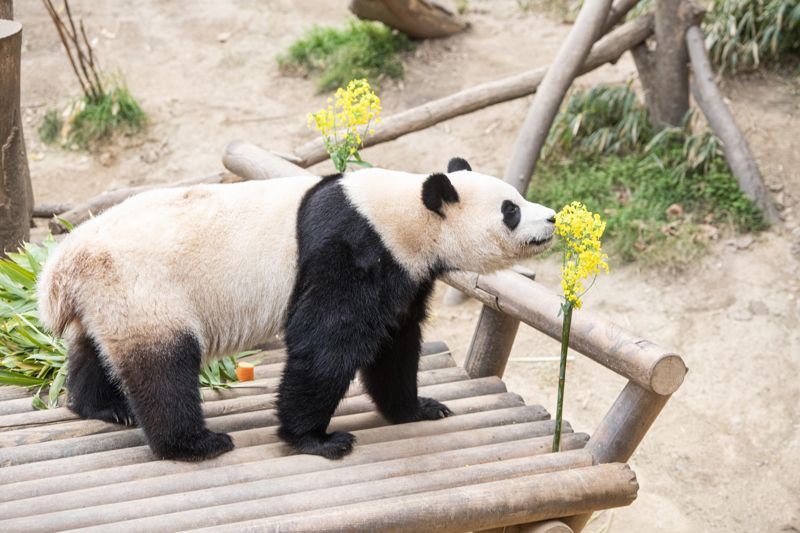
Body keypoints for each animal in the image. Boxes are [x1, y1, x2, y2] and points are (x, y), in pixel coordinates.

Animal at [36, 156, 552, 460]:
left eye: (518, 197)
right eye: (510, 209)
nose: (549, 218)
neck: (402, 213)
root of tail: (62, 265)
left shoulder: (403, 271)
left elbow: (396, 344)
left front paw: (418, 407)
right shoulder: (352, 247)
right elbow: (326, 342)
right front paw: (316, 438)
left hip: (110, 295)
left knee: (95, 348)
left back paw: (101, 406)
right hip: (145, 286)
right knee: (164, 365)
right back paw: (194, 444)